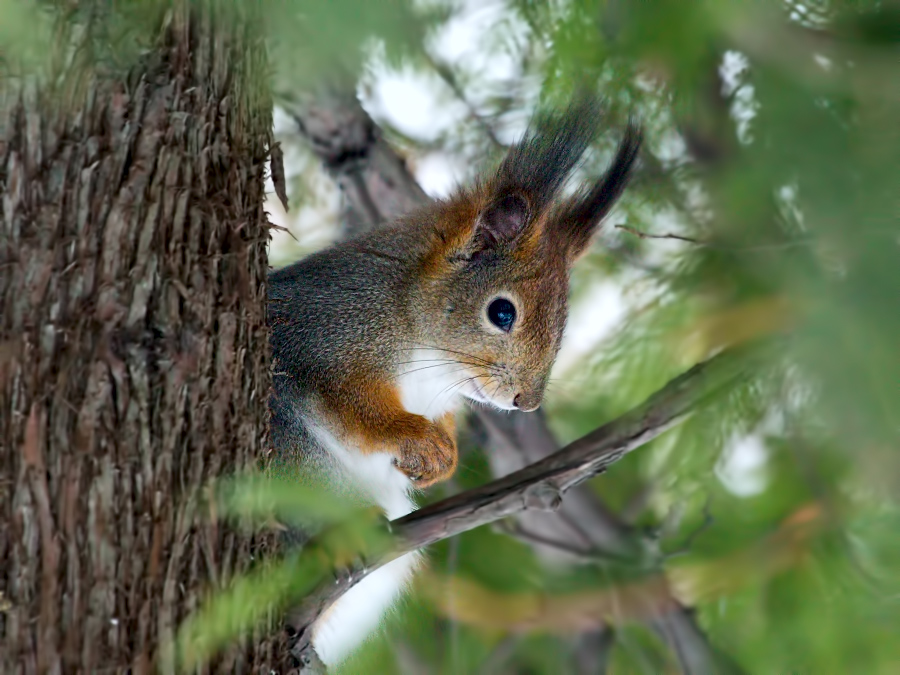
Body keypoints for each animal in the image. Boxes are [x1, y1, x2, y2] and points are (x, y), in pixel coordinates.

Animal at [268, 96, 640, 672]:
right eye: (502, 312)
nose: (526, 402)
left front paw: (440, 459)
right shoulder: (317, 337)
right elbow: (353, 406)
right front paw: (417, 439)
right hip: (286, 447)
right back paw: (335, 537)